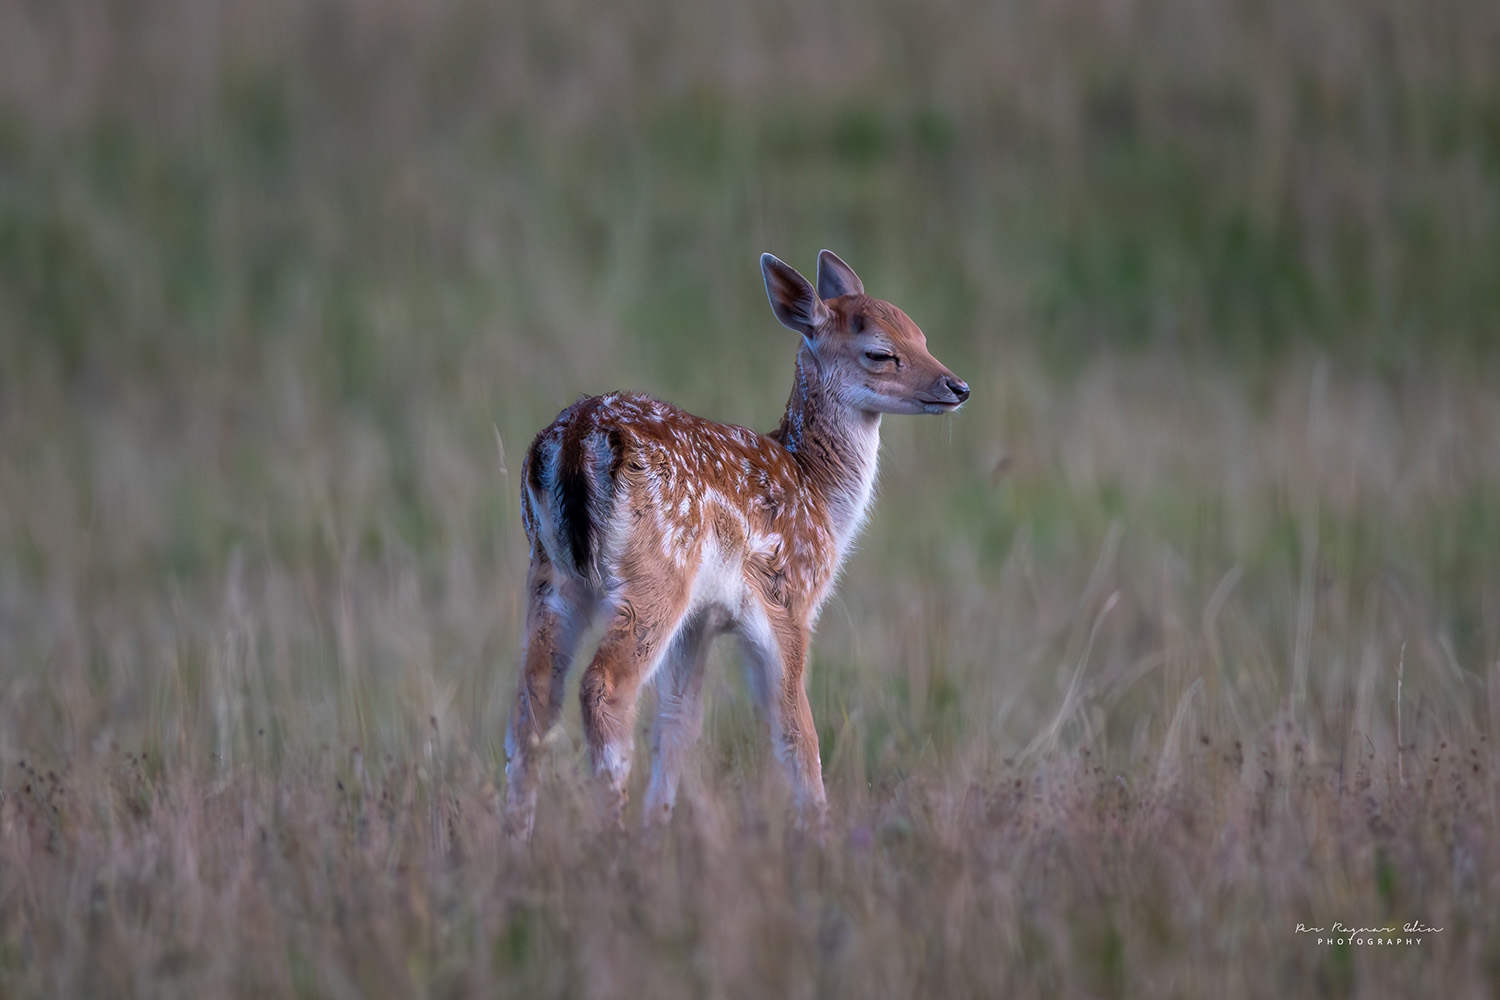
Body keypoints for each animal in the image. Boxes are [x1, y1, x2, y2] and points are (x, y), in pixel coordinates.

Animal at [503, 250, 969, 838]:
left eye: (921, 335)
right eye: (882, 353)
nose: (958, 386)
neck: (818, 494)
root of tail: (573, 440)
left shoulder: (701, 621)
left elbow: (679, 722)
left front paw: (657, 831)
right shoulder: (789, 598)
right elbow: (795, 729)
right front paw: (820, 831)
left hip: (550, 571)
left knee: (533, 696)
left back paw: (517, 837)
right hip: (655, 575)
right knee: (603, 688)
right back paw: (610, 832)